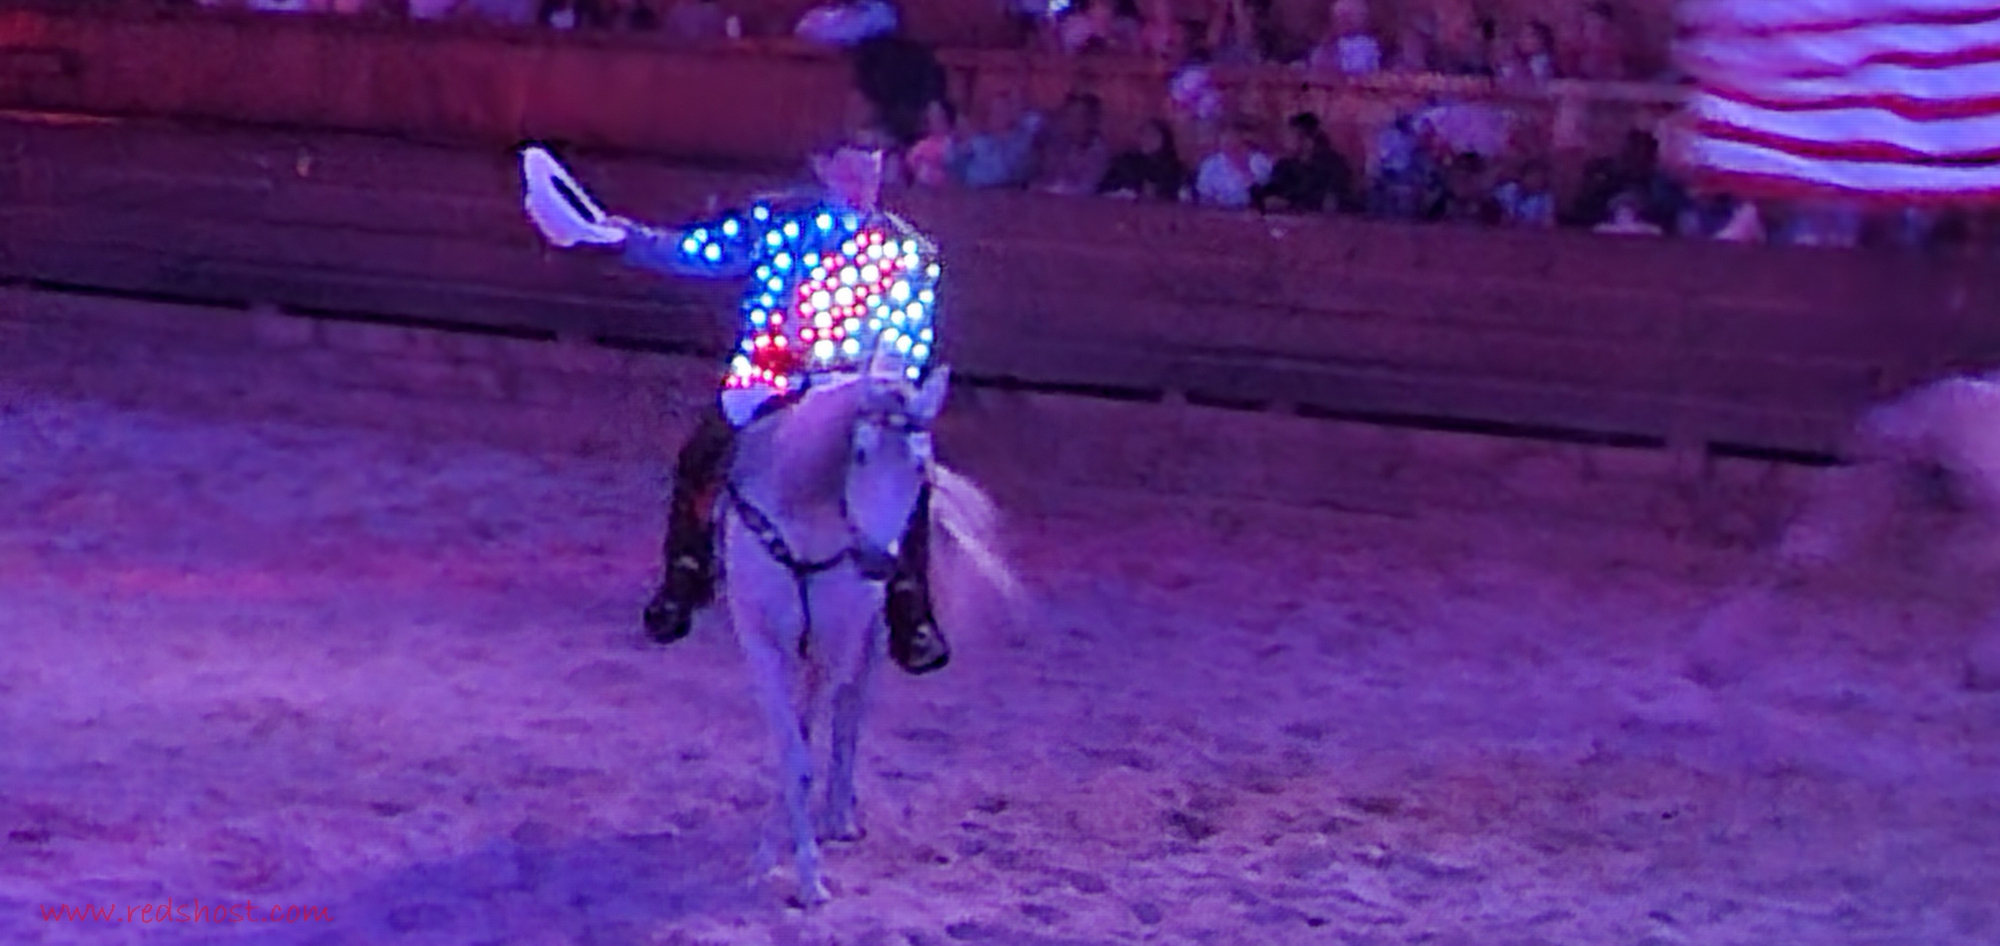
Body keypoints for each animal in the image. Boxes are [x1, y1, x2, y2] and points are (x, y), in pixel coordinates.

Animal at [714, 358, 1018, 907]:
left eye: (921, 467)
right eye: (857, 453)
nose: (878, 559)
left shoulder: (834, 644)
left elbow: (811, 740)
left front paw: (804, 873)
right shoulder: (762, 641)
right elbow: (791, 752)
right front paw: (772, 862)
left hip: (868, 637)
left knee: (850, 711)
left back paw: (839, 816)